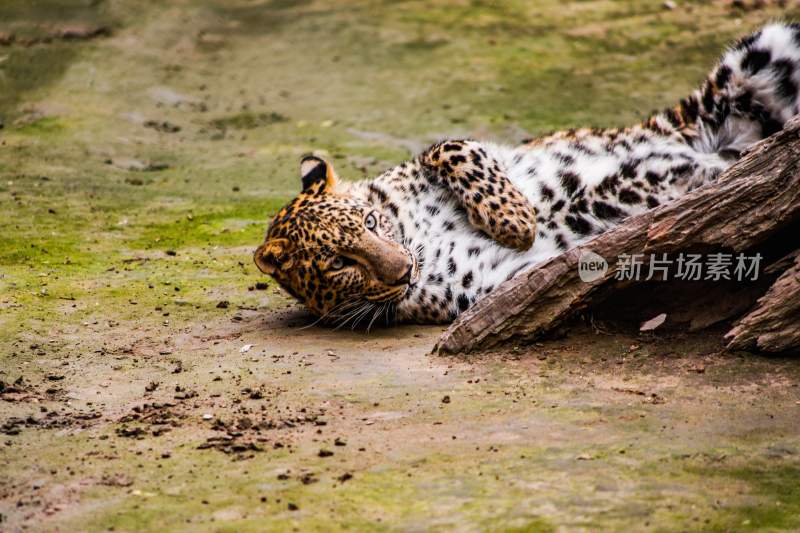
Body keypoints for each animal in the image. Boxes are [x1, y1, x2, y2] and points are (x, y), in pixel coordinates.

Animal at [255, 22, 800, 326]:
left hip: (761, 55)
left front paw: (515, 220)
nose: (405, 270)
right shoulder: (492, 282)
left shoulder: (472, 152)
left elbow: (449, 145)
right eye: (339, 263)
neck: (413, 233)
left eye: (369, 222)